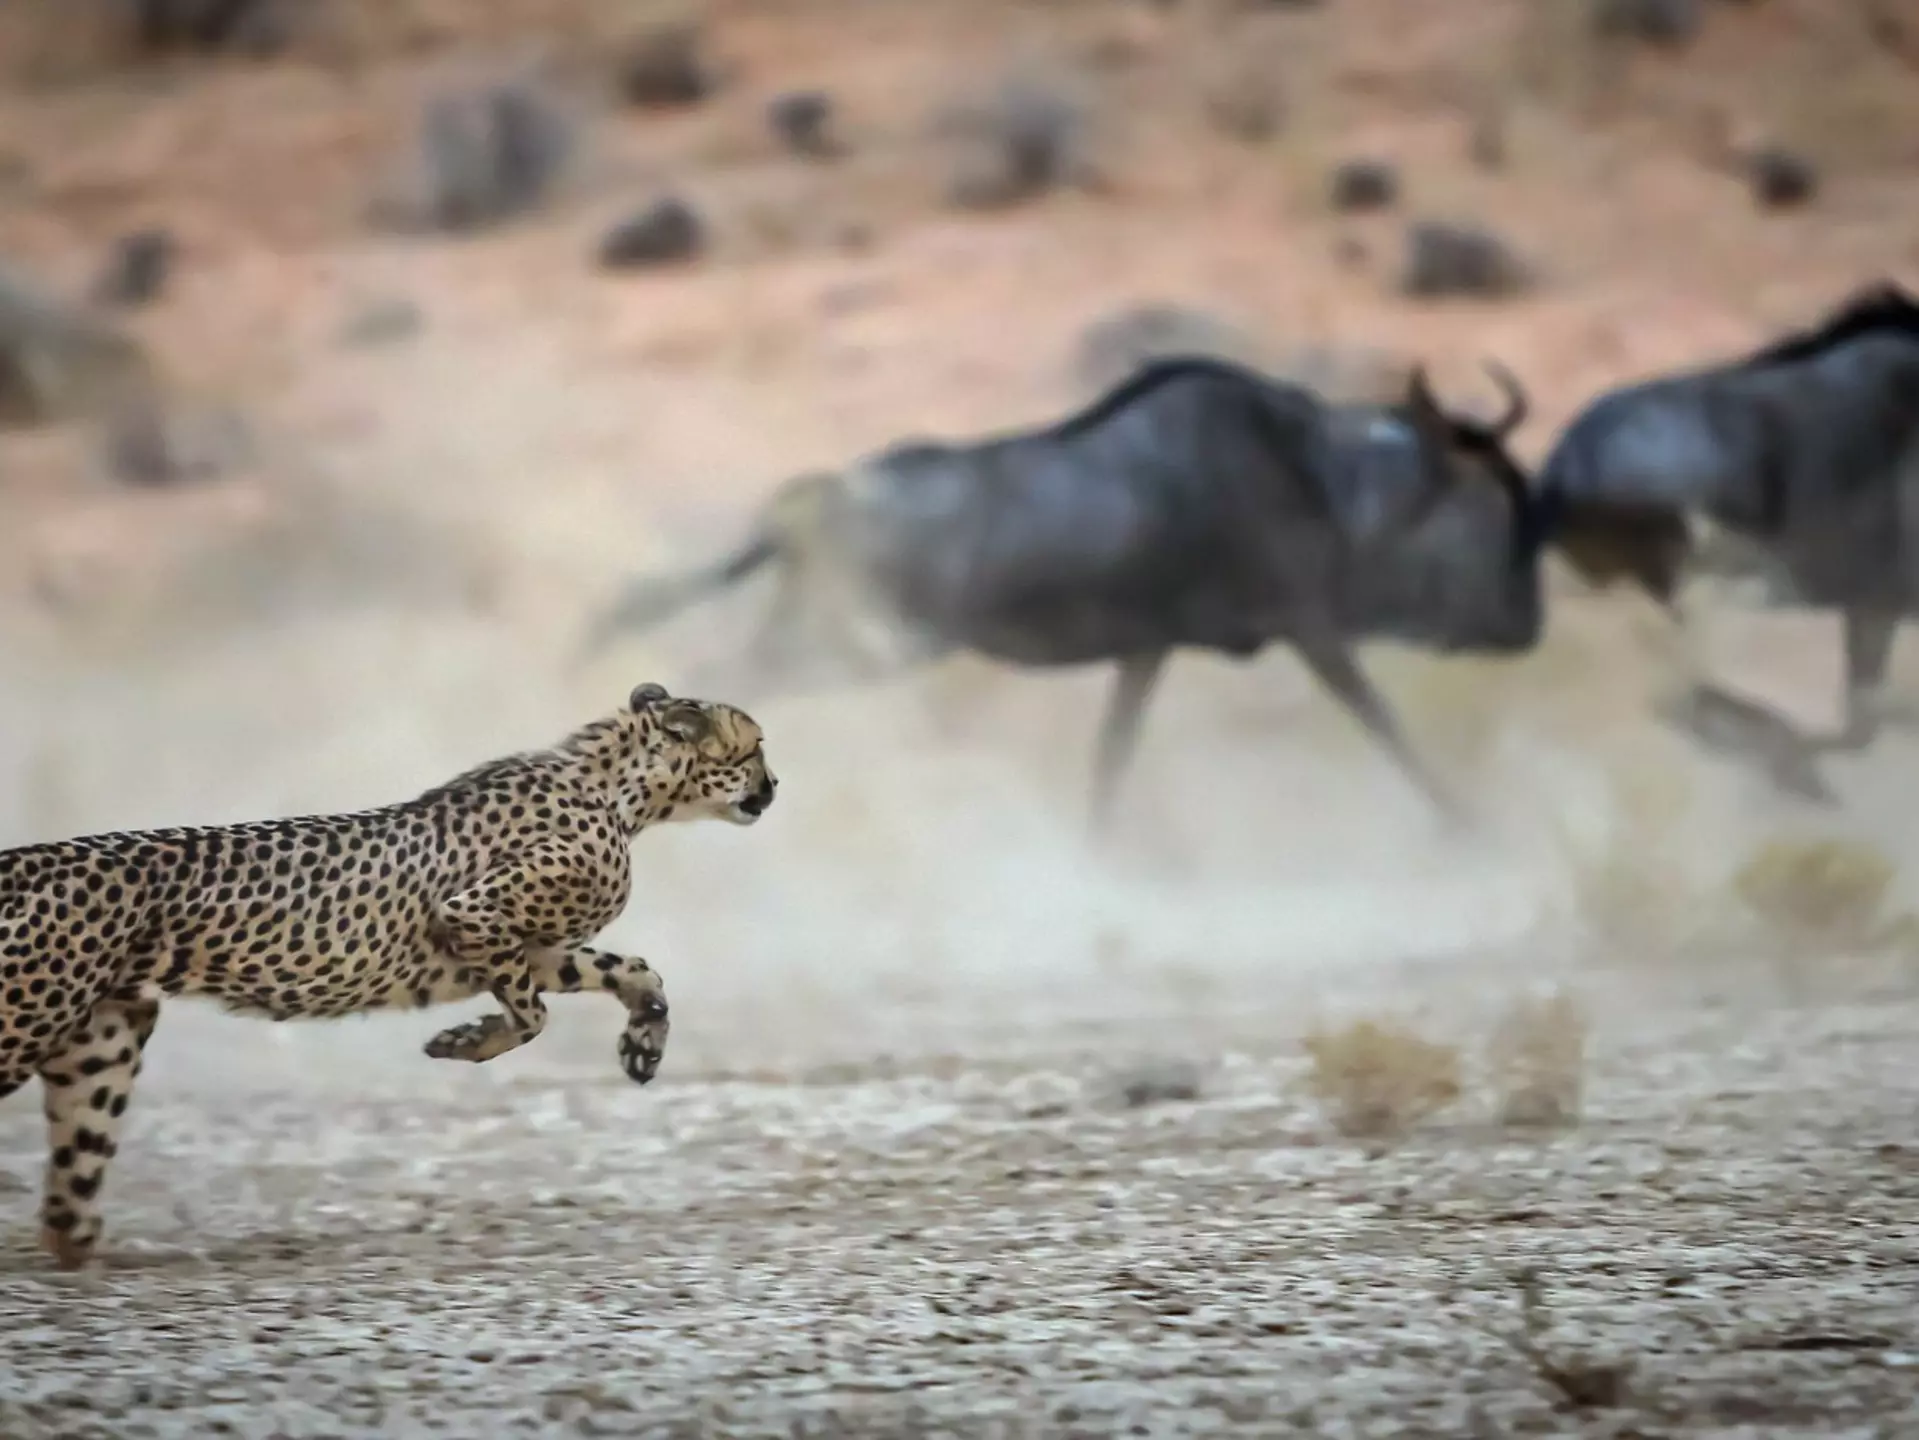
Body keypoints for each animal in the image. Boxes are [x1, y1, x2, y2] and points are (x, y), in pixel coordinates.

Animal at [0, 681, 776, 1270]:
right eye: (755, 747)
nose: (775, 785)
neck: (622, 790)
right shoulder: (474, 915)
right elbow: (532, 1016)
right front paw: (464, 1042)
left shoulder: (539, 946)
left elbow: (635, 972)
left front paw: (642, 1044)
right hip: (25, 1023)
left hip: (103, 1039)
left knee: (78, 1160)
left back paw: (77, 1242)